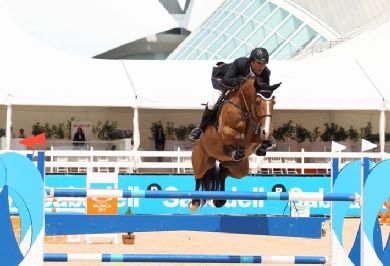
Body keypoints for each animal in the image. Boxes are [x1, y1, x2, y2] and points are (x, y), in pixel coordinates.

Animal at [189, 77, 278, 212]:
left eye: (274, 102)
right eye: (257, 102)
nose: (266, 130)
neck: (244, 109)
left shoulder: (256, 134)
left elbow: (263, 140)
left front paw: (262, 147)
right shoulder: (224, 132)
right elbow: (239, 137)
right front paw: (237, 150)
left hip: (239, 169)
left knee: (222, 172)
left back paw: (219, 200)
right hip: (201, 160)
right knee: (199, 176)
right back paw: (195, 201)